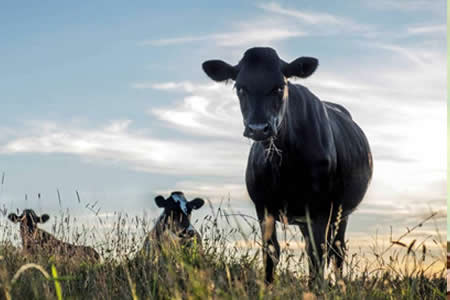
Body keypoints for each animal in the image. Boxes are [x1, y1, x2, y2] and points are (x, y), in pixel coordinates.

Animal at [203, 47, 372, 284]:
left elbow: (318, 254)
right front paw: (267, 285)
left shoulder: (320, 208)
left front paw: (317, 287)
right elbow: (271, 250)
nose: (258, 128)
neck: (283, 165)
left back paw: (338, 284)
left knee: (336, 250)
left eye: (279, 87)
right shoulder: (263, 206)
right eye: (240, 87)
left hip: (341, 212)